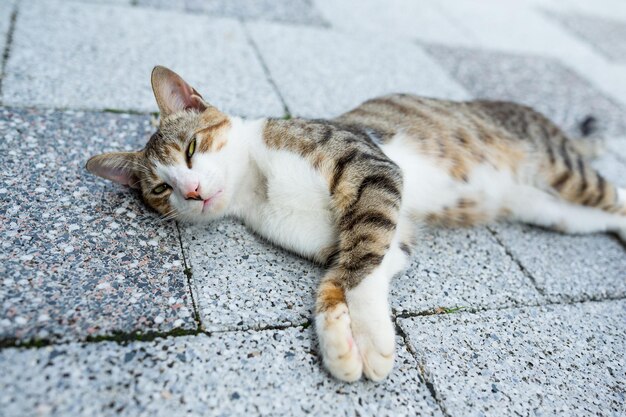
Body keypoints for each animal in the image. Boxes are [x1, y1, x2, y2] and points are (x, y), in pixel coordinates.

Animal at [86, 66, 624, 382]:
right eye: (161, 189)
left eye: (192, 149)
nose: (193, 191)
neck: (257, 183)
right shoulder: (381, 237)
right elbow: (345, 273)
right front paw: (342, 342)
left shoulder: (371, 167)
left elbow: (362, 260)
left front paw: (369, 340)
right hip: (551, 211)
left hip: (560, 170)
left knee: (615, 197)